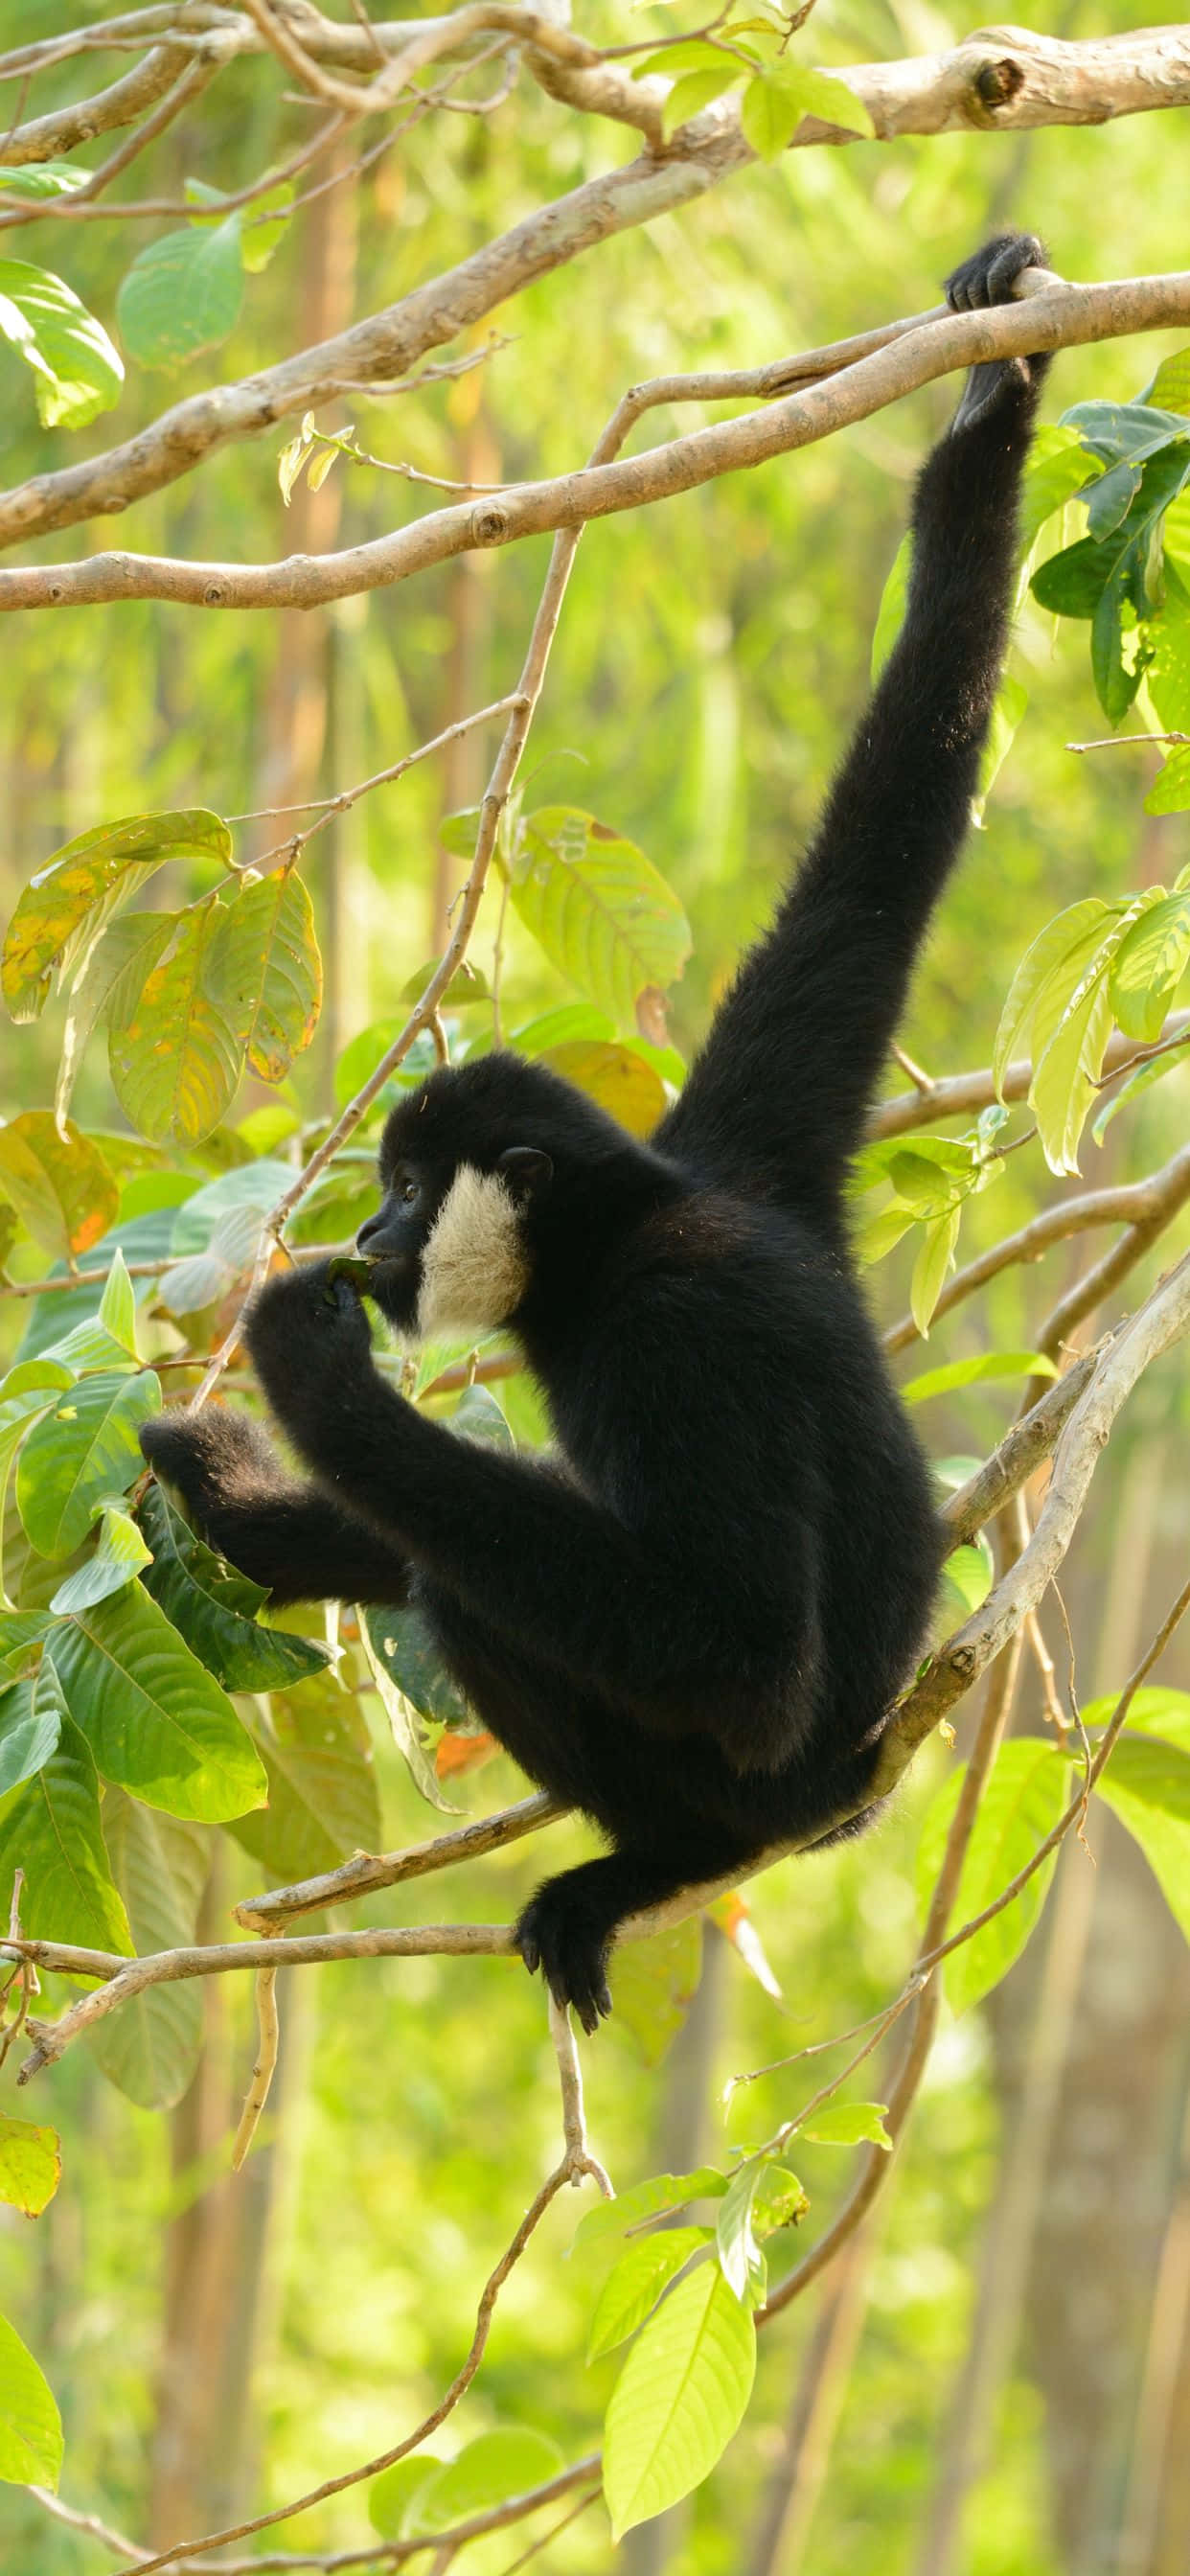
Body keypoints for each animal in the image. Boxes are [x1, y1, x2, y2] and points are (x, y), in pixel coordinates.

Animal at [142, 234, 1051, 2032]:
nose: (370, 1237)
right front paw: (988, 406)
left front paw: (310, 1379)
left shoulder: (669, 1340)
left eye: (403, 1189)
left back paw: (655, 1868)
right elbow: (881, 844)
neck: (617, 1235)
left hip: (768, 1792)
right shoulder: (752, 1138)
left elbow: (738, 1650)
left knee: (479, 1592)